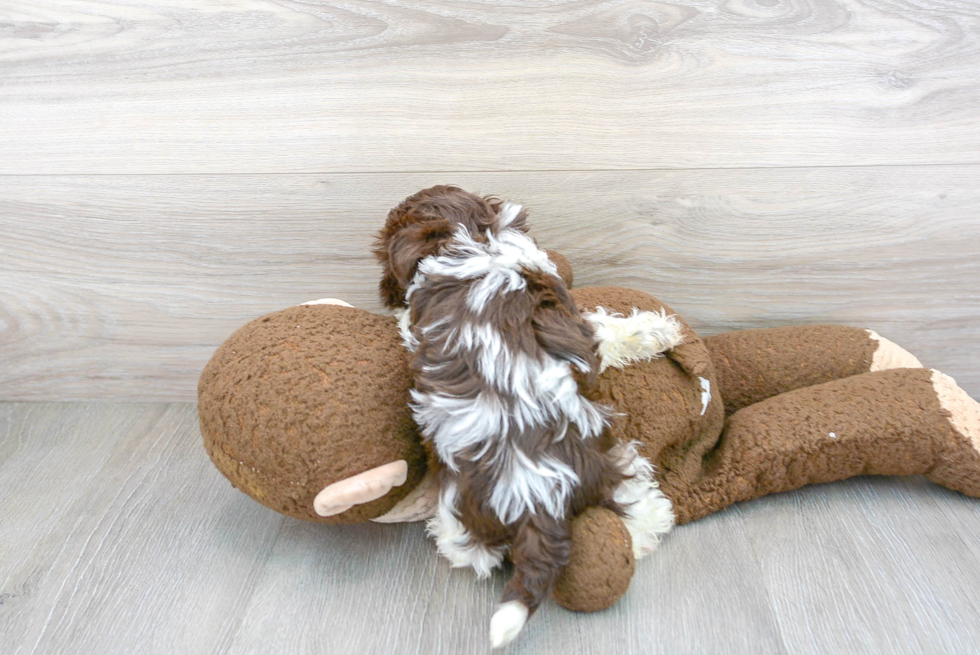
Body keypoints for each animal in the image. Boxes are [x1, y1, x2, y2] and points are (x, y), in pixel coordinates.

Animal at [376, 187, 680, 648]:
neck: (464, 238)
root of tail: (533, 496)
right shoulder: (575, 322)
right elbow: (608, 333)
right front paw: (657, 331)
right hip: (611, 462)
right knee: (640, 511)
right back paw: (651, 527)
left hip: (465, 506)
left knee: (472, 551)